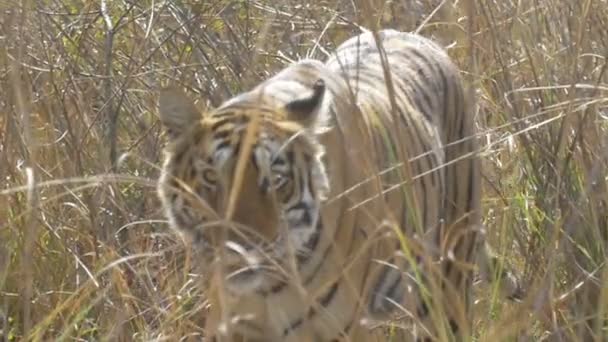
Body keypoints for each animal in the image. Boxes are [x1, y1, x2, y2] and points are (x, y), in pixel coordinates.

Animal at [158, 30, 524, 342]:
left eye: (276, 181)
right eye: (211, 178)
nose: (240, 250)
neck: (266, 290)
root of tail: (422, 38)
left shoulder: (338, 329)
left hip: (446, 282)